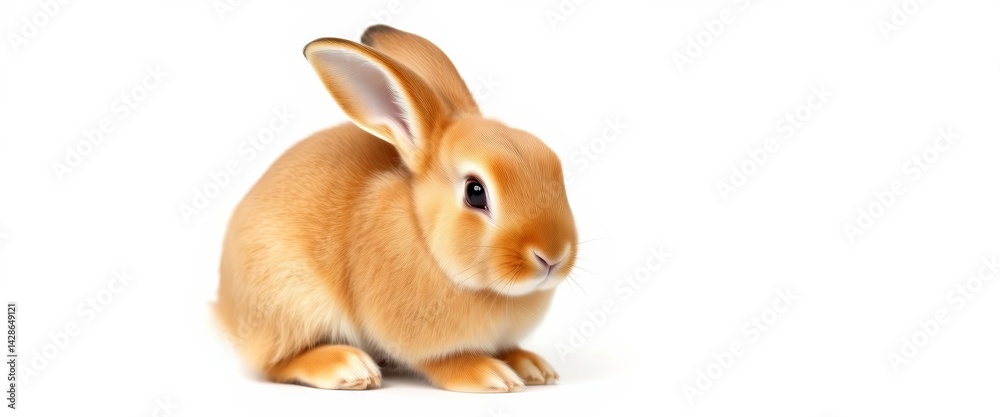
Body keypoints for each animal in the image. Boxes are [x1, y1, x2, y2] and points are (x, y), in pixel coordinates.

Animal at [215, 24, 578, 392]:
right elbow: (442, 361)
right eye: (475, 192)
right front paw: (489, 374)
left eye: (554, 166)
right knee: (277, 362)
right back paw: (348, 366)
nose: (552, 256)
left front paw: (531, 366)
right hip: (291, 300)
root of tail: (225, 307)